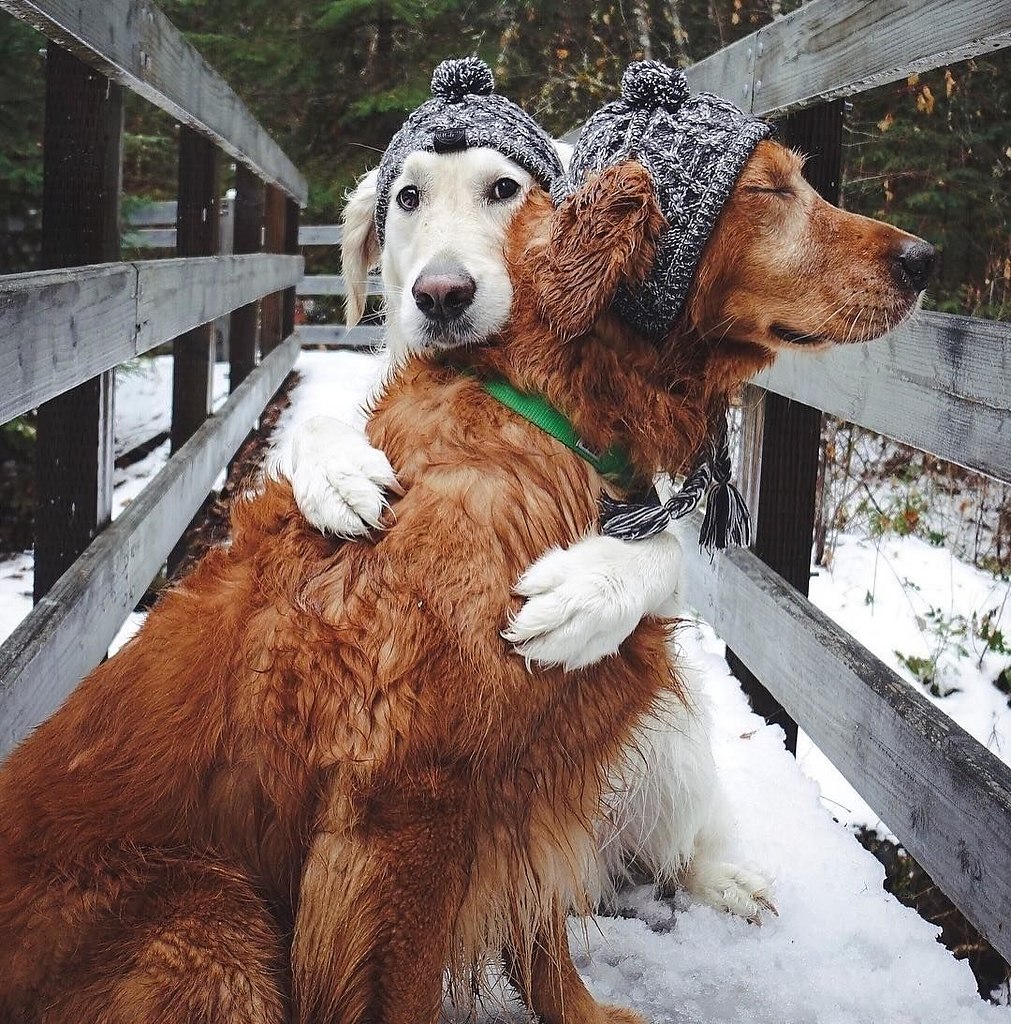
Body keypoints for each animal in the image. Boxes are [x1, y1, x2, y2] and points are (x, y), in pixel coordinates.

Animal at [270, 144, 774, 921]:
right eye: (407, 196)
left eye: (504, 189)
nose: (441, 294)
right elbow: (320, 431)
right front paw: (338, 474)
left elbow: (660, 546)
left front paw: (582, 597)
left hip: (674, 741)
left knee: (678, 848)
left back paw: (721, 879)